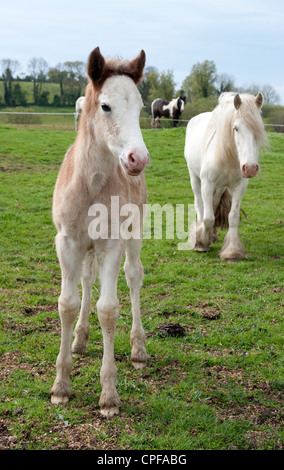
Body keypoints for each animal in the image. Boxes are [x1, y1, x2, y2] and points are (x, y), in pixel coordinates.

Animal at [50, 46, 150, 414]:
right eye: (105, 106)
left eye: (141, 107)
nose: (138, 159)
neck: (91, 186)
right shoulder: (67, 241)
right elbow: (67, 302)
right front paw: (61, 386)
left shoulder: (112, 242)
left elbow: (108, 309)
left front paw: (108, 395)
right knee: (87, 279)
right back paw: (79, 339)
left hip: (135, 231)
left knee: (134, 276)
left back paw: (138, 349)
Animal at [184, 92, 268, 260]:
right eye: (235, 128)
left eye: (259, 128)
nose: (250, 168)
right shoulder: (207, 184)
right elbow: (208, 218)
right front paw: (201, 243)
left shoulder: (239, 186)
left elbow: (233, 217)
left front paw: (232, 251)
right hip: (195, 179)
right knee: (200, 206)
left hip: (220, 187)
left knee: (214, 204)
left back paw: (212, 235)